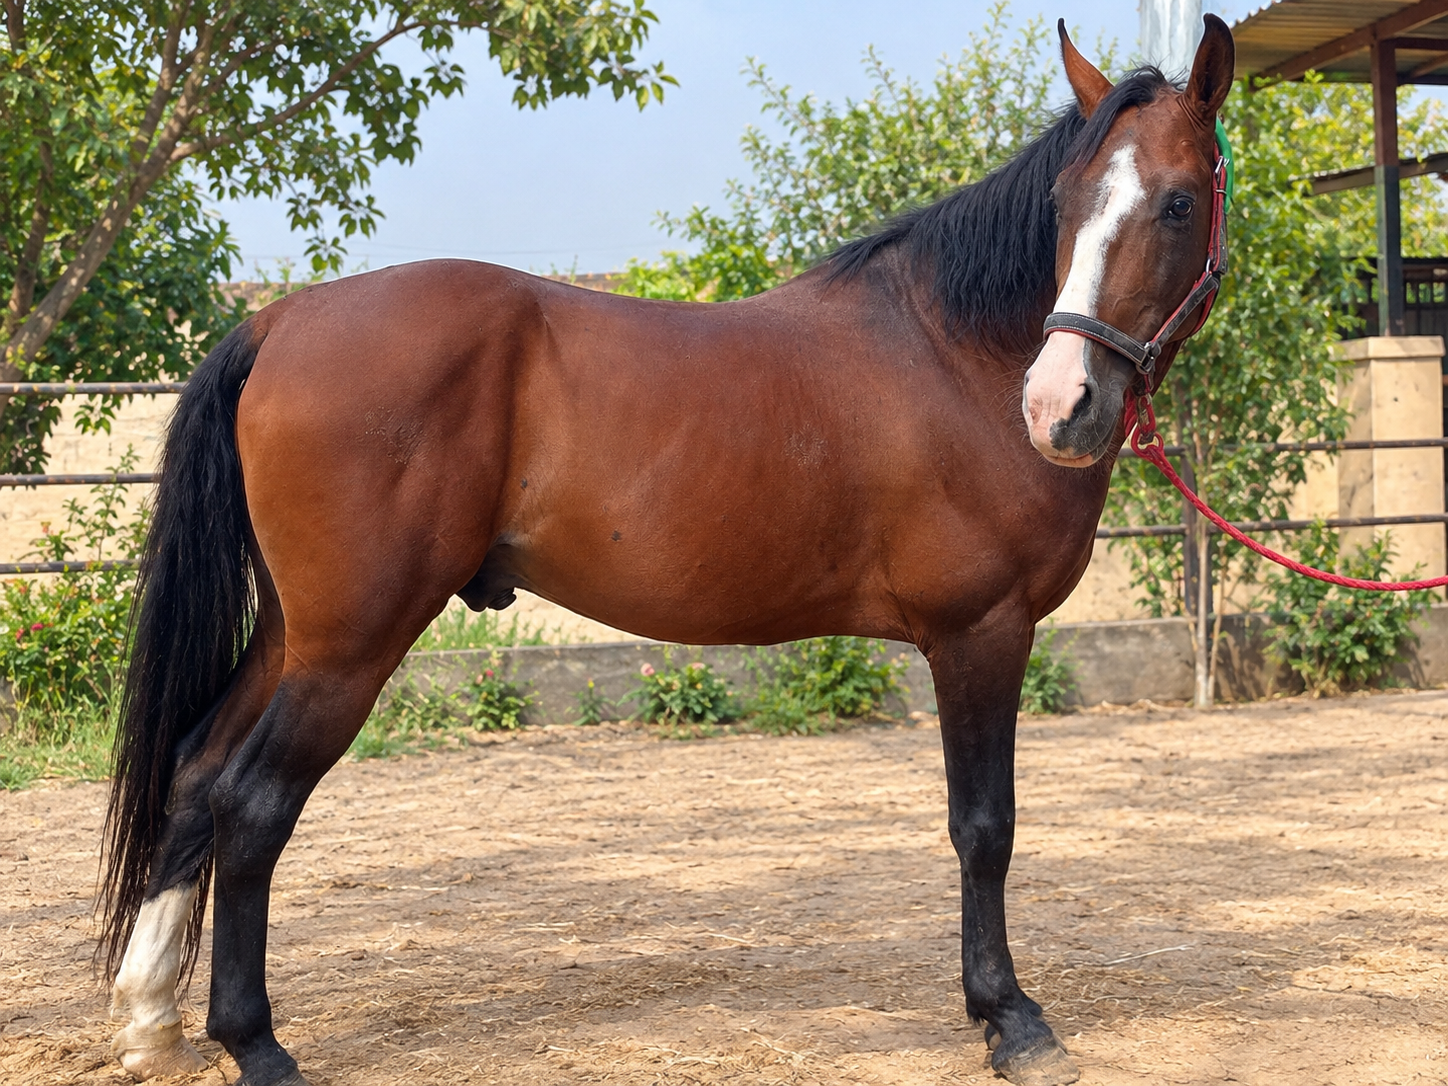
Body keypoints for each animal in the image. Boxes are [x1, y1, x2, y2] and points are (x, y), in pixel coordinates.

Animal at [98, 18, 1234, 1086]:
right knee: (251, 805)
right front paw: (1010, 1020)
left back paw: (152, 1021)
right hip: (349, 645)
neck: (954, 349)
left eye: (1176, 203)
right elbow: (984, 828)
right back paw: (255, 1043)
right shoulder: (979, 635)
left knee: (196, 772)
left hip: (296, 633)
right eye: (1065, 201)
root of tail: (281, 322)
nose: (1059, 407)